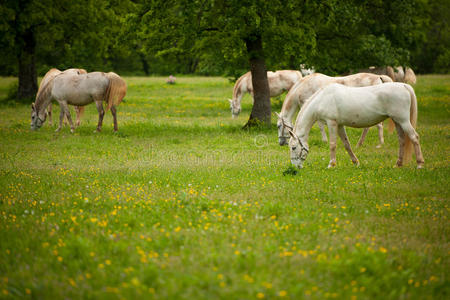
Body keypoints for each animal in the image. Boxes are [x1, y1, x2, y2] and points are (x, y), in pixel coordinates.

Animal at [288, 82, 426, 169]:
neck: (322, 99)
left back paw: (420, 164)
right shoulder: (339, 125)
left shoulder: (331, 123)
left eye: (293, 147)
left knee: (414, 137)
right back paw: (398, 164)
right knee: (402, 141)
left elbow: (333, 145)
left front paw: (331, 164)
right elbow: (346, 144)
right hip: (397, 121)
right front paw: (356, 162)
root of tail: (404, 86)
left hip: (403, 120)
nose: (295, 167)